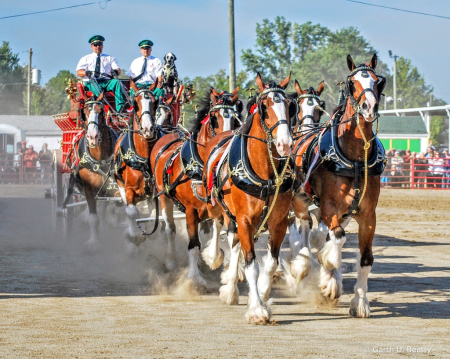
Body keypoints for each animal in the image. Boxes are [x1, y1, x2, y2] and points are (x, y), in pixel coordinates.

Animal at [150, 88, 243, 286]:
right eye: (214, 117)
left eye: (236, 118)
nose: (226, 140)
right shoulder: (191, 209)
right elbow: (193, 244)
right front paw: (195, 278)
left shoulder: (217, 205)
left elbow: (215, 231)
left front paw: (213, 258)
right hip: (164, 198)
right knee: (170, 229)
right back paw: (171, 260)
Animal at [204, 73, 296, 324]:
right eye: (264, 106)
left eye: (290, 106)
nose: (285, 144)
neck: (266, 175)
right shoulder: (244, 220)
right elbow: (251, 265)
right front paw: (256, 309)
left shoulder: (279, 222)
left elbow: (271, 263)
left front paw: (263, 293)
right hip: (223, 211)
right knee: (228, 236)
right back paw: (227, 281)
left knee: (236, 244)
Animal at [292, 53, 386, 318]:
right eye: (352, 83)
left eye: (377, 81)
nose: (369, 107)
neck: (354, 157)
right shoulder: (328, 207)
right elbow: (336, 240)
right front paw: (328, 271)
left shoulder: (367, 215)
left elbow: (365, 259)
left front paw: (360, 301)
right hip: (300, 201)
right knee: (305, 229)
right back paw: (303, 267)